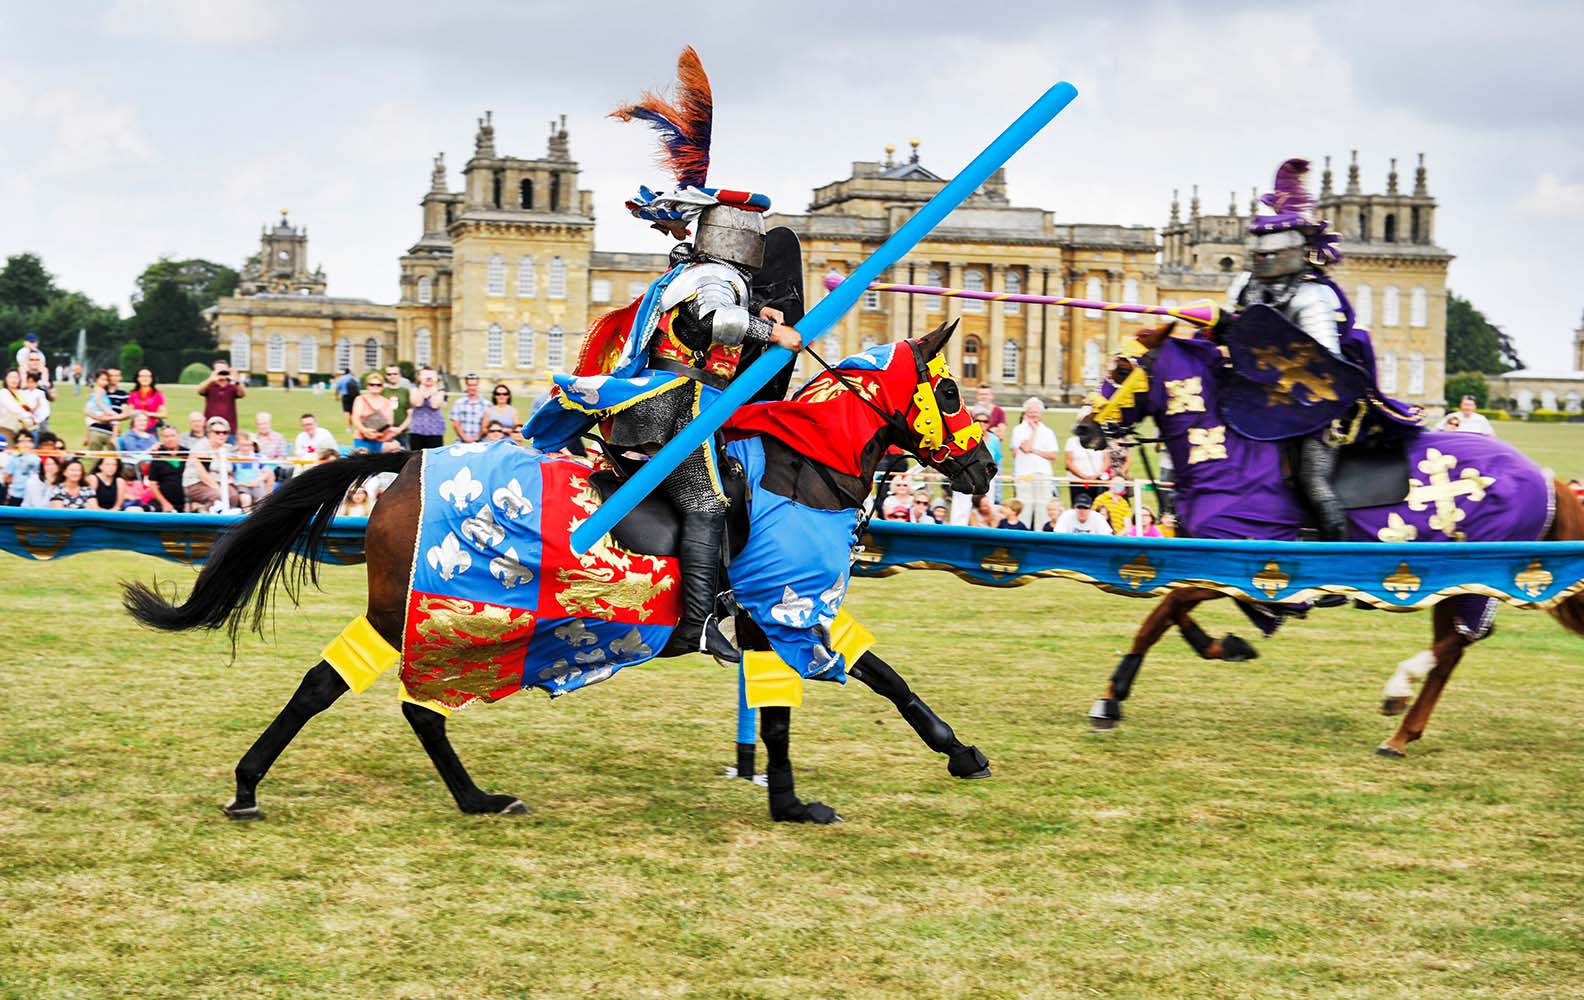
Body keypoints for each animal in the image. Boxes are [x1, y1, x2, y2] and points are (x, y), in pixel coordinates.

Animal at [122, 321, 998, 822]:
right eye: (951, 387)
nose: (985, 469)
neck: (803, 468)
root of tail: (408, 460)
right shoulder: (783, 609)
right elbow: (837, 692)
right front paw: (804, 800)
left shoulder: (786, 613)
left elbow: (853, 687)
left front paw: (946, 755)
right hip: (451, 610)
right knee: (398, 702)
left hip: (409, 611)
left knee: (348, 689)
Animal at [1076, 322, 1584, 756]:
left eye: (1120, 370)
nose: (1083, 428)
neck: (1226, 455)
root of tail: (1543, 476)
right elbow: (1172, 616)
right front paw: (1228, 647)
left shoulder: (1235, 564)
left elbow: (1159, 616)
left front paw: (1110, 700)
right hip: (1455, 583)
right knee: (1454, 649)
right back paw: (1401, 733)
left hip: (1474, 578)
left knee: (1458, 641)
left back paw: (1399, 690)